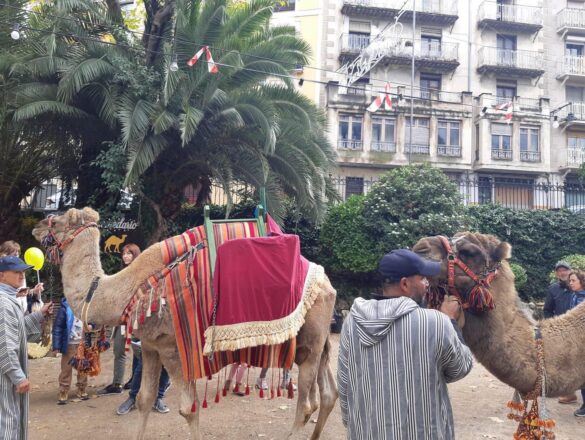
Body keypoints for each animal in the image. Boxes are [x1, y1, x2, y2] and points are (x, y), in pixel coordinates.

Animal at [32, 207, 338, 440]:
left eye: (56, 221)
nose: (36, 227)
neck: (129, 290)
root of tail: (327, 283)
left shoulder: (174, 349)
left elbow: (188, 409)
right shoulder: (151, 347)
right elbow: (144, 399)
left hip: (309, 348)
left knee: (306, 405)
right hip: (318, 345)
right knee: (328, 395)